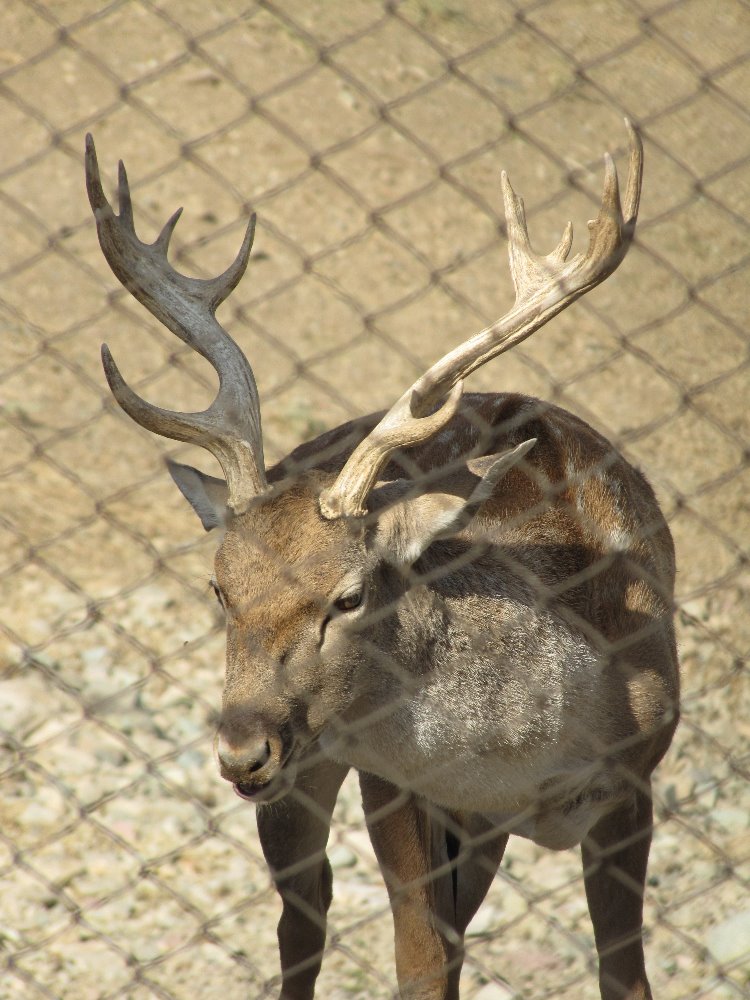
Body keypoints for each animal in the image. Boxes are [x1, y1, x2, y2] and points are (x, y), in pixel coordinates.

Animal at [85, 121, 679, 1000]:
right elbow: (420, 964)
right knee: (305, 915)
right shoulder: (394, 781)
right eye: (218, 587)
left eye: (350, 595)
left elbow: (623, 976)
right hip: (314, 779)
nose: (240, 750)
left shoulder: (635, 779)